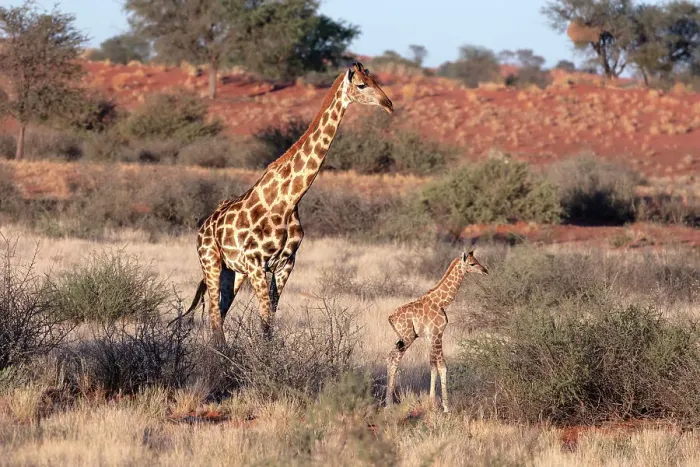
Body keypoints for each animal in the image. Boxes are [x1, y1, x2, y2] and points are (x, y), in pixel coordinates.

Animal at [181, 63, 393, 344]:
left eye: (376, 81)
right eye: (361, 85)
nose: (388, 104)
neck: (289, 199)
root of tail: (202, 227)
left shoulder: (285, 264)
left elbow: (269, 325)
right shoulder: (256, 263)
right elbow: (265, 322)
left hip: (233, 272)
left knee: (219, 316)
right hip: (211, 262)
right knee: (215, 318)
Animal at [386, 250, 488, 412]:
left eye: (477, 260)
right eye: (472, 264)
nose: (485, 271)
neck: (441, 302)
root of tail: (391, 317)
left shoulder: (430, 336)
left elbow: (432, 365)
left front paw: (431, 400)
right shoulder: (438, 333)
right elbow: (442, 366)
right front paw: (446, 406)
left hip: (402, 338)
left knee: (390, 357)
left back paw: (387, 402)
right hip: (407, 337)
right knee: (394, 358)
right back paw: (389, 404)